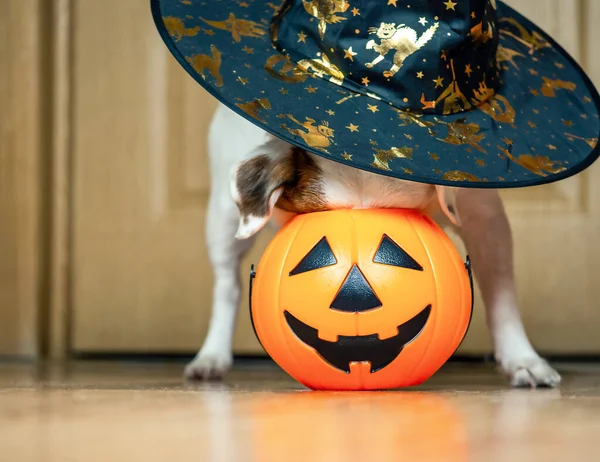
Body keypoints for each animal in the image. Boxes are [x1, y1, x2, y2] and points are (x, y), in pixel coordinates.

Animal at [184, 103, 564, 388]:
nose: (356, 294)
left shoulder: (485, 220)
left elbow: (501, 294)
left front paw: (522, 359)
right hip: (222, 218)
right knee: (228, 286)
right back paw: (212, 356)